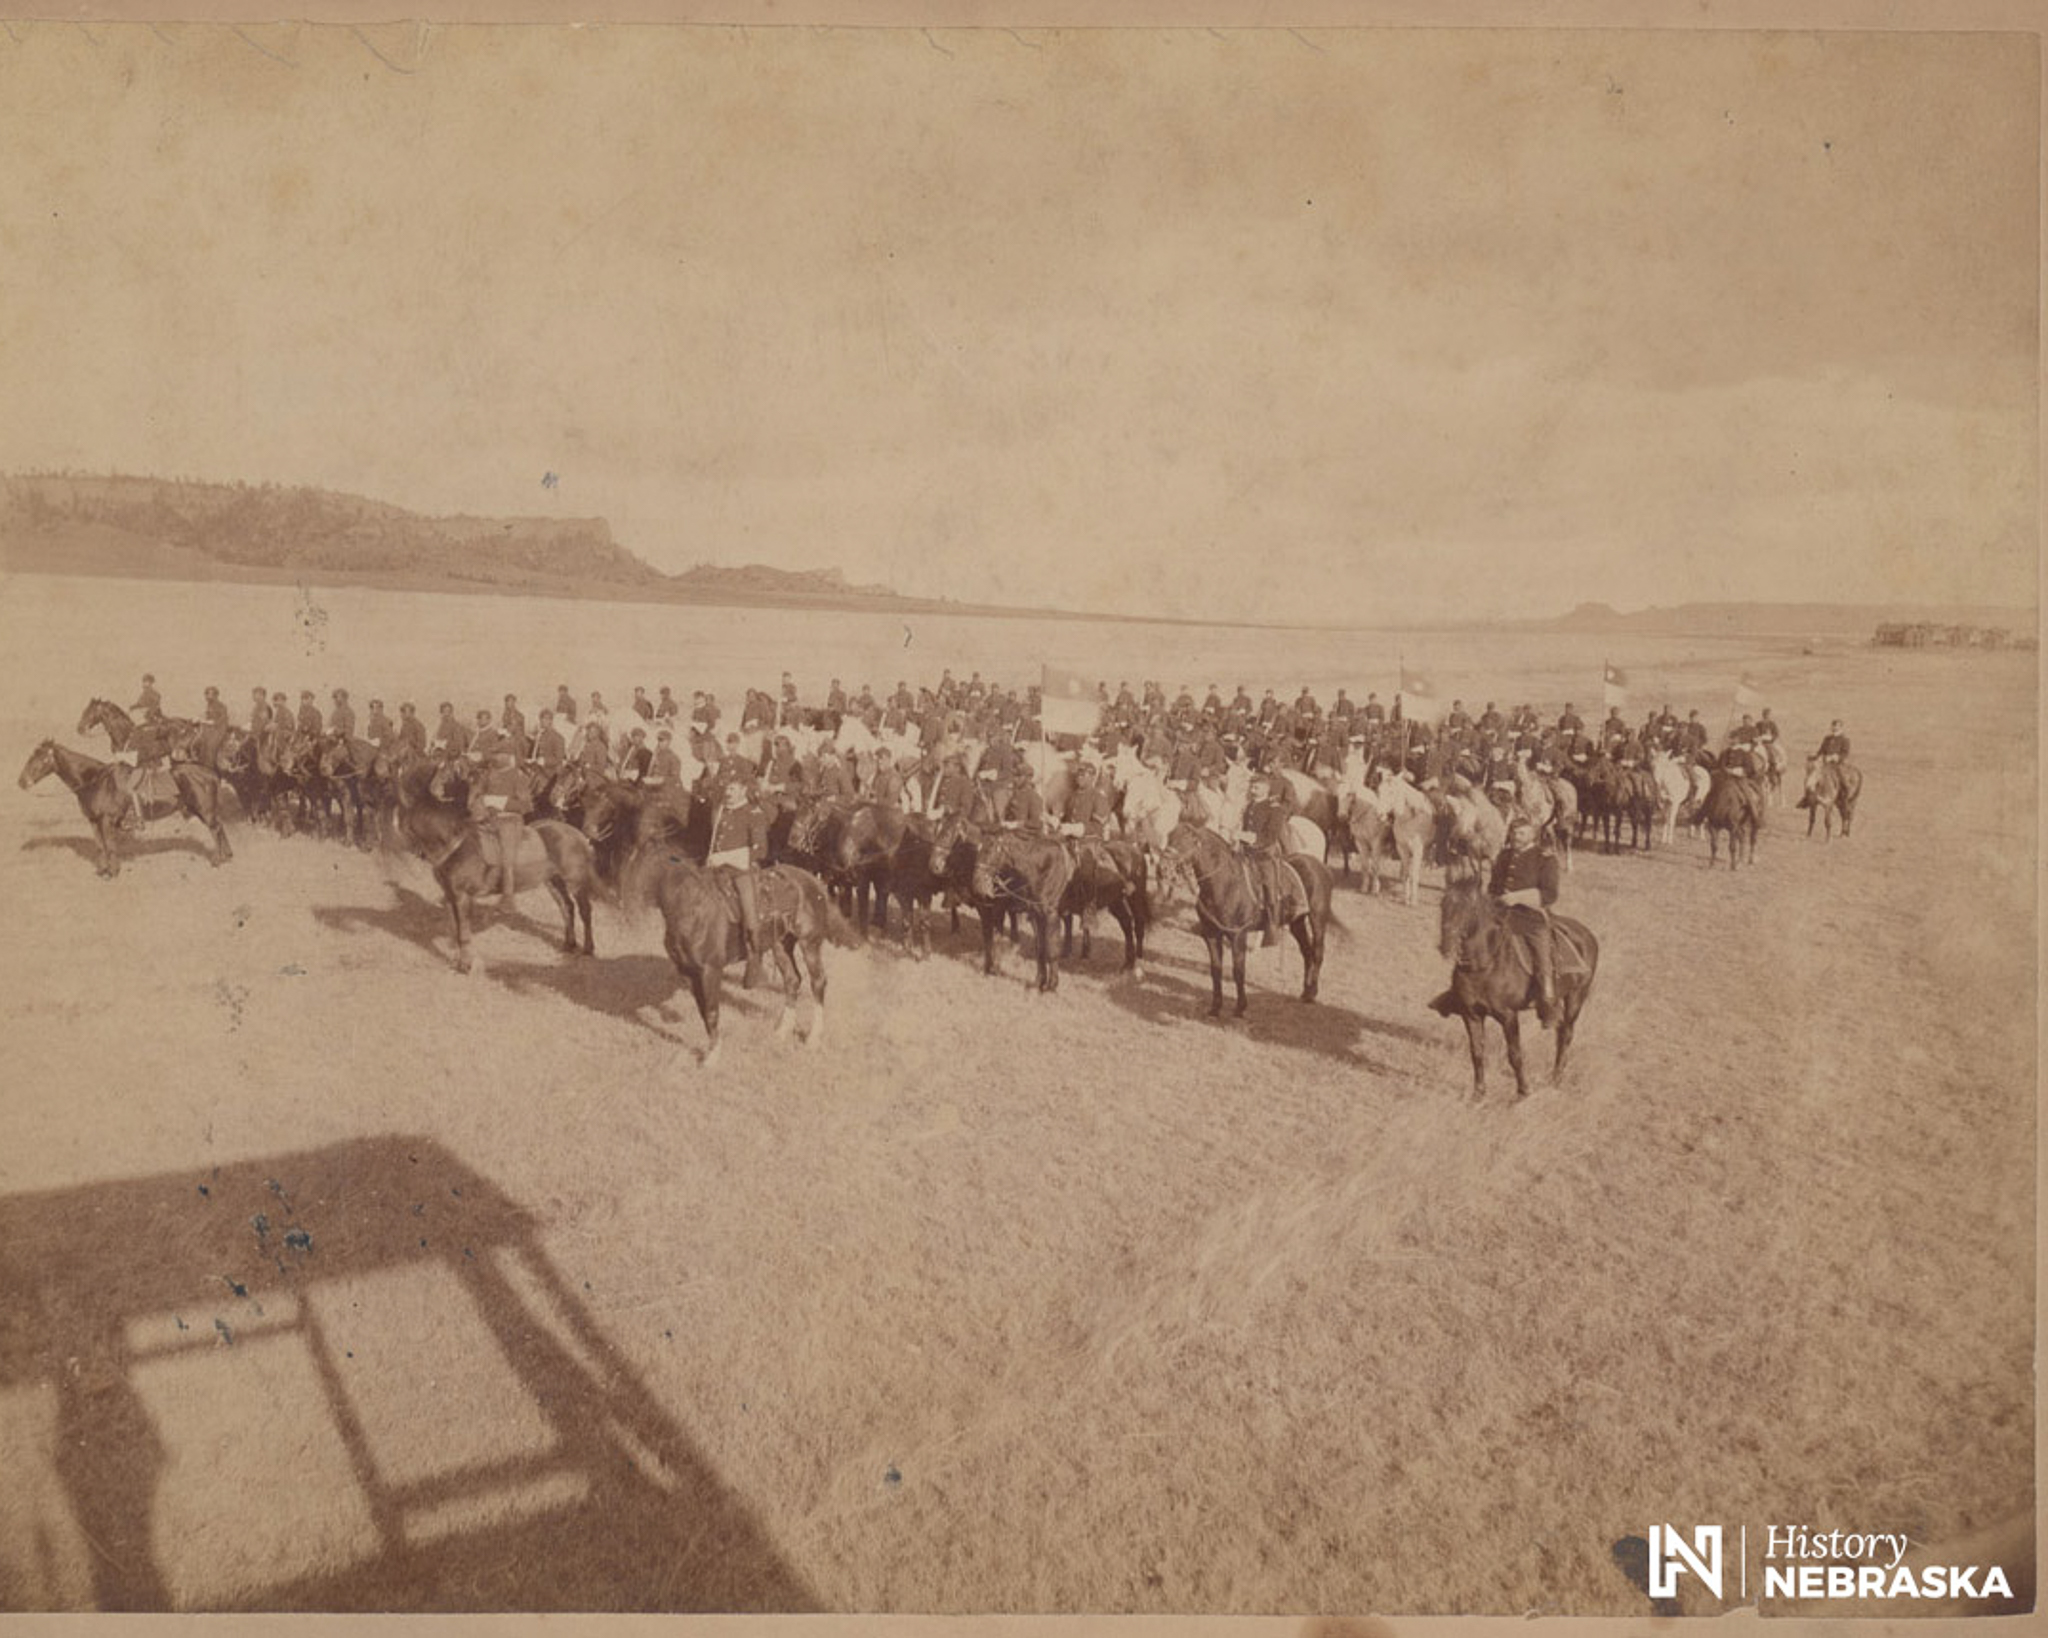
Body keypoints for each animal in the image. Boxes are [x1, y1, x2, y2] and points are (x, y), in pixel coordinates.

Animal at [18, 737, 234, 876]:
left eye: (39, 758)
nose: (21, 782)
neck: (95, 781)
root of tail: (211, 773)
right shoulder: (93, 821)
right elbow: (100, 846)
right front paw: (101, 870)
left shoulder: (107, 821)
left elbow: (110, 845)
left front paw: (113, 872)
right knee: (220, 827)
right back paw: (228, 856)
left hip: (205, 810)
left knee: (215, 829)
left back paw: (217, 860)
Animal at [393, 765, 598, 978]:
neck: (456, 844)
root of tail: (579, 835)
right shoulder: (450, 896)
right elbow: (455, 931)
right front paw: (458, 963)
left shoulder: (463, 897)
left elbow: (463, 933)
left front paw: (467, 966)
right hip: (553, 882)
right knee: (566, 907)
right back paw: (569, 944)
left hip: (576, 882)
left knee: (585, 910)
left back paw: (588, 949)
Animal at [614, 839, 856, 1064]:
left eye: (641, 868)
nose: (626, 909)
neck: (693, 908)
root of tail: (813, 882)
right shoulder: (689, 973)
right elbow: (704, 1011)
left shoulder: (711, 970)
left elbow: (712, 1012)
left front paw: (712, 1059)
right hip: (780, 946)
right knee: (792, 980)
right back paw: (780, 1032)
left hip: (810, 944)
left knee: (818, 983)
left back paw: (813, 1038)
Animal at [1155, 827, 1327, 1015]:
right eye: (1170, 837)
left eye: (1187, 840)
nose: (1162, 868)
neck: (1226, 884)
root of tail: (1318, 864)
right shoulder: (1212, 935)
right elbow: (1216, 969)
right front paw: (1215, 1007)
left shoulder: (1238, 936)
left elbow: (1238, 971)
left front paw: (1240, 1007)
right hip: (1297, 922)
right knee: (1307, 952)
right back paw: (1306, 992)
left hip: (1317, 919)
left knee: (1318, 953)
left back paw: (1312, 993)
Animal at [1425, 876, 1597, 1097]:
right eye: (1442, 904)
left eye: (1470, 907)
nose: (1446, 945)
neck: (1484, 966)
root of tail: (1587, 934)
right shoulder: (1471, 1014)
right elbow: (1477, 1052)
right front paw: (1479, 1092)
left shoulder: (1508, 1016)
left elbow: (1515, 1054)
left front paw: (1523, 1091)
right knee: (1559, 1031)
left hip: (1576, 997)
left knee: (1566, 1034)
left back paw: (1556, 1079)